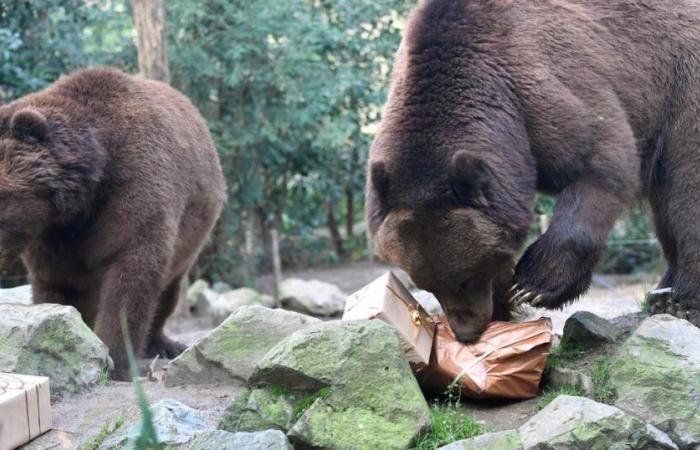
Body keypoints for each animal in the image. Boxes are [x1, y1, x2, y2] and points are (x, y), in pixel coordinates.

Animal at [0, 67, 226, 380]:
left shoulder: (134, 187)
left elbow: (130, 276)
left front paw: (115, 360)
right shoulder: (51, 235)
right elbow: (56, 282)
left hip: (191, 239)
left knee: (167, 294)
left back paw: (165, 345)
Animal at [366, 0, 700, 342]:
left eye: (467, 277)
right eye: (426, 284)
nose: (467, 331)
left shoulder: (545, 88)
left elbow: (601, 163)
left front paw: (532, 285)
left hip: (682, 85)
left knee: (685, 189)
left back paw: (681, 298)